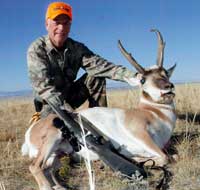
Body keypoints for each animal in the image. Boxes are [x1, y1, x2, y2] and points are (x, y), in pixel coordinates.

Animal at [21, 28, 176, 190]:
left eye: (165, 73)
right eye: (143, 80)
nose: (168, 87)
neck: (153, 113)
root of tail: (32, 129)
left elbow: (171, 156)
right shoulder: (141, 134)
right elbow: (166, 157)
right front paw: (138, 159)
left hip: (56, 156)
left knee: (49, 169)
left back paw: (60, 186)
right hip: (54, 137)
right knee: (35, 167)